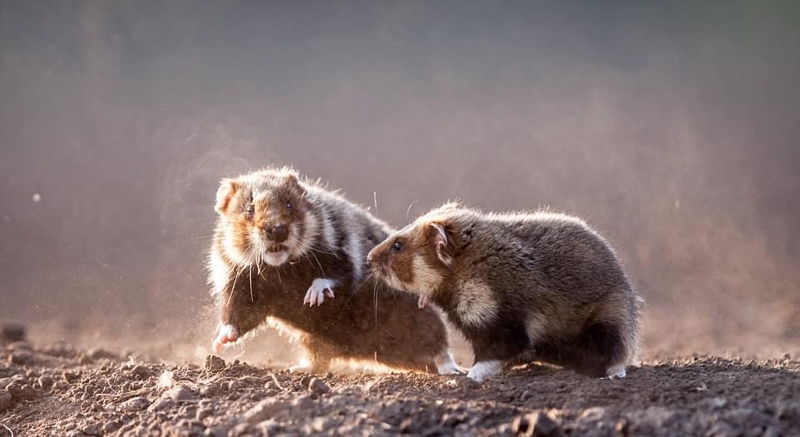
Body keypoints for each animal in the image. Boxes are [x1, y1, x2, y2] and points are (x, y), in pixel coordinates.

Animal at [206, 169, 462, 372]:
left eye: (289, 204)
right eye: (249, 209)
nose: (277, 231)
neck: (280, 269)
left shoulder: (346, 251)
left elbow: (336, 275)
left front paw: (313, 297)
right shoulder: (240, 282)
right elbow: (236, 314)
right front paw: (218, 342)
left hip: (420, 320)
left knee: (441, 349)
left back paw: (454, 372)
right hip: (313, 339)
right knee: (318, 362)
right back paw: (296, 369)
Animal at [366, 202, 640, 382]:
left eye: (398, 245)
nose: (368, 258)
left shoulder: (502, 324)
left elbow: (491, 356)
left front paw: (467, 377)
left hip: (609, 322)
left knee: (617, 355)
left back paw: (613, 375)